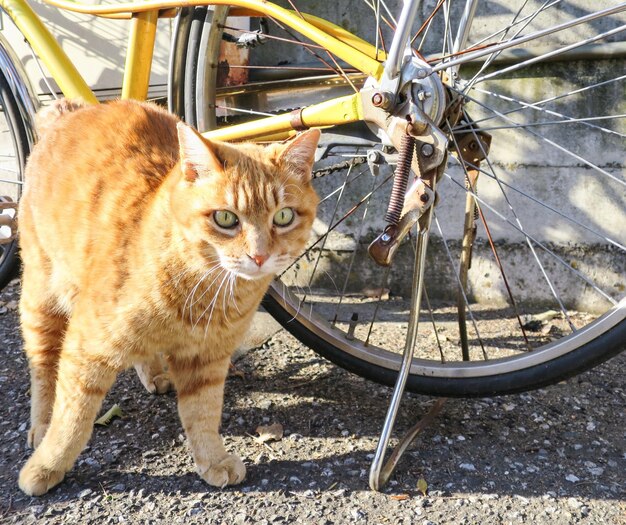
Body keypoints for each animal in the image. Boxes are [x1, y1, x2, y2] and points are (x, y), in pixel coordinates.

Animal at [17, 98, 320, 496]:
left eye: (283, 216)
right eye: (226, 219)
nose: (259, 256)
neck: (205, 289)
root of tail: (74, 109)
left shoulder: (208, 359)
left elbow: (203, 413)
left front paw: (212, 459)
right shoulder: (86, 348)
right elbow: (73, 418)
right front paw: (47, 466)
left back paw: (154, 372)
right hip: (41, 300)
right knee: (43, 368)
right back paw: (40, 425)